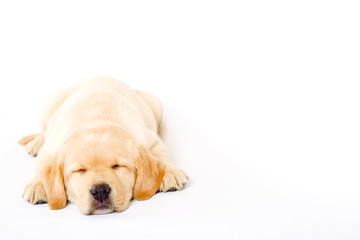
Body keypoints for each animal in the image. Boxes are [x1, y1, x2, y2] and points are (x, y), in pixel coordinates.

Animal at [18, 76, 190, 214]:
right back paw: (37, 142)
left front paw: (170, 172)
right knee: (44, 130)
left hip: (155, 104)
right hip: (48, 106)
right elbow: (42, 165)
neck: (97, 121)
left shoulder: (149, 137)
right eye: (79, 170)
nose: (100, 191)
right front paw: (39, 185)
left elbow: (161, 152)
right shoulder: (51, 147)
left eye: (117, 166)